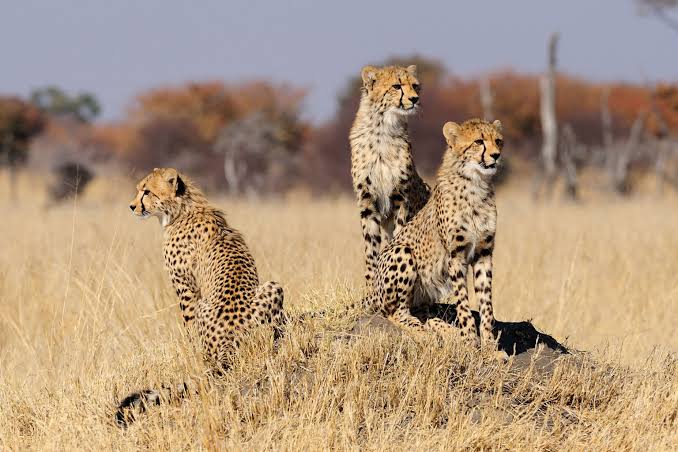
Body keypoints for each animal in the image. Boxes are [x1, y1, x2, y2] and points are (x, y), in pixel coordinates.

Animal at [115, 167, 284, 426]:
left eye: (147, 191)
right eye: (139, 190)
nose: (132, 206)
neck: (181, 210)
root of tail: (229, 342)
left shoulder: (186, 288)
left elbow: (188, 328)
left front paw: (189, 349)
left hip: (208, 304)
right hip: (274, 287)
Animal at [350, 64, 431, 286]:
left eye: (415, 86)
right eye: (396, 86)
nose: (414, 99)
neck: (383, 131)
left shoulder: (400, 199)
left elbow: (398, 234)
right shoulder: (367, 201)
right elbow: (371, 247)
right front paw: (371, 282)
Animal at [361, 118, 504, 346]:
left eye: (498, 141)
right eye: (478, 142)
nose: (496, 155)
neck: (476, 184)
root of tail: (372, 290)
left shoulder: (484, 253)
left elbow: (486, 303)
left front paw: (491, 346)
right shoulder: (455, 255)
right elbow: (463, 303)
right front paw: (470, 341)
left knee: (422, 313)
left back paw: (445, 329)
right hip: (402, 252)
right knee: (395, 312)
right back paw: (424, 333)